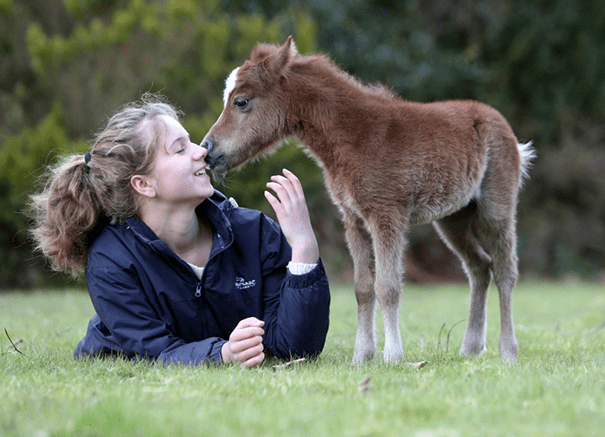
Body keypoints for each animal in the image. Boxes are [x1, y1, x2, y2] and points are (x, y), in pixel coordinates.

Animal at [203, 37, 532, 362]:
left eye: (241, 101)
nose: (208, 149)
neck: (357, 136)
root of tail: (502, 125)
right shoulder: (354, 219)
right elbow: (362, 288)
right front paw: (361, 355)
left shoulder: (387, 215)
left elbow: (387, 286)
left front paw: (393, 355)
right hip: (454, 218)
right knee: (479, 267)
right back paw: (470, 347)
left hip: (496, 208)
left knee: (505, 271)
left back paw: (508, 350)